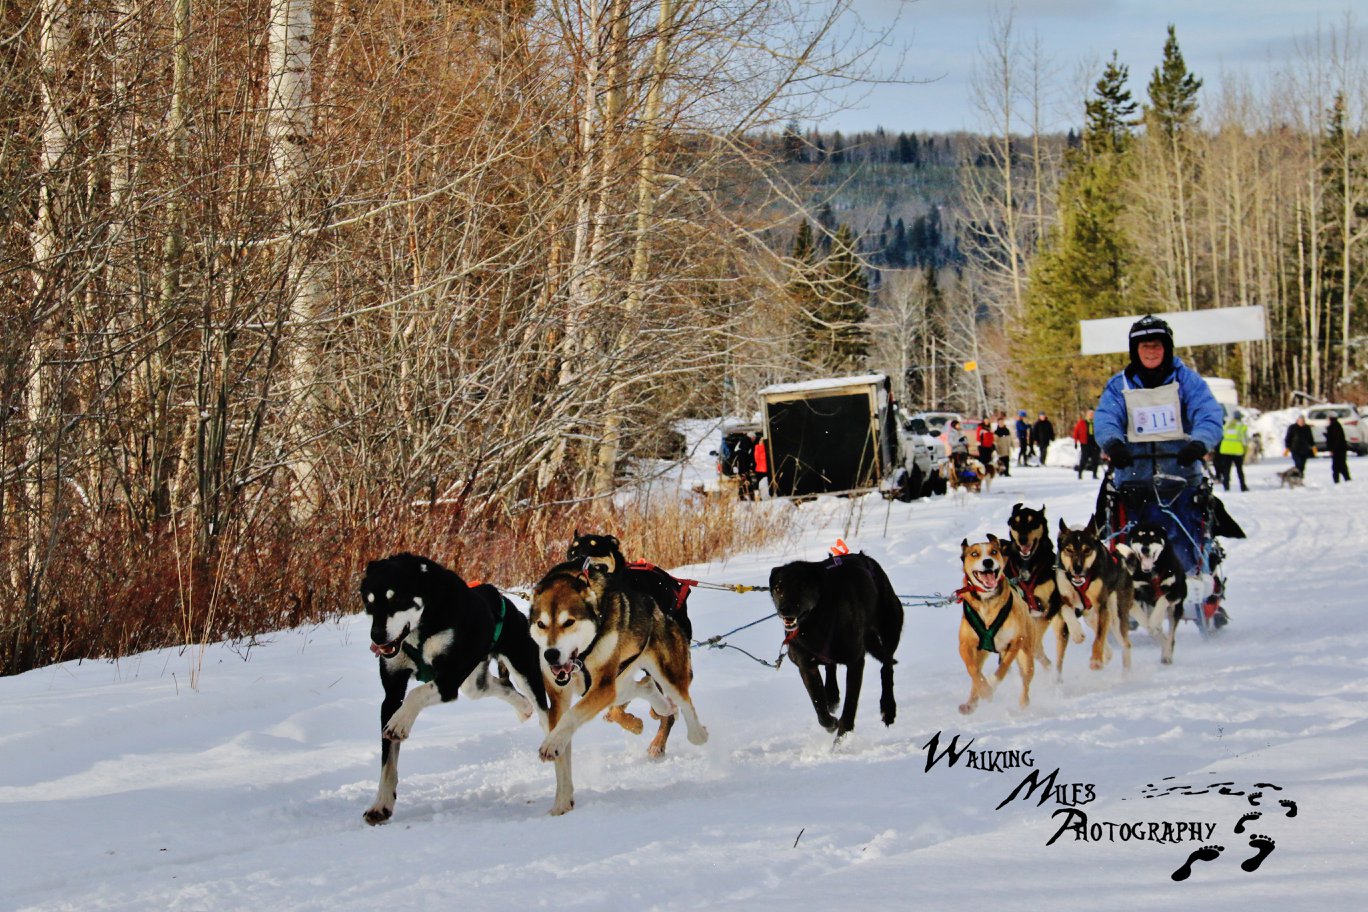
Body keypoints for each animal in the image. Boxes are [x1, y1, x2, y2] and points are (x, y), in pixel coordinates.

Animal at [361, 552, 547, 825]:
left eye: (395, 599)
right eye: (369, 602)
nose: (377, 636)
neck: (422, 628)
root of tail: (501, 598)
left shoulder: (447, 681)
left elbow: (415, 694)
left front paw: (401, 722)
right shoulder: (392, 694)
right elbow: (388, 762)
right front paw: (381, 804)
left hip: (523, 668)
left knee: (545, 714)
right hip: (472, 680)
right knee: (495, 686)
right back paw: (523, 708)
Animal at [530, 560, 711, 814]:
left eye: (568, 622)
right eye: (541, 624)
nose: (551, 654)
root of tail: (660, 610)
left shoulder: (602, 687)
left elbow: (570, 718)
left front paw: (551, 744)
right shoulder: (560, 697)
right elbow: (562, 751)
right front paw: (561, 804)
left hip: (663, 672)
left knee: (685, 703)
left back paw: (698, 734)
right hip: (618, 683)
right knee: (647, 688)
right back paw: (663, 707)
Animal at [957, 530, 1028, 716]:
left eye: (994, 552)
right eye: (974, 554)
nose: (987, 561)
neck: (987, 602)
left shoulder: (1016, 641)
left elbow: (1002, 669)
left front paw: (992, 685)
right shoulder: (965, 645)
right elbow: (973, 671)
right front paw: (985, 690)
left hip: (1026, 654)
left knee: (1027, 679)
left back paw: (1024, 705)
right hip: (980, 653)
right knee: (976, 675)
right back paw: (971, 703)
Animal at [1050, 519, 1138, 678]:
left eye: (1087, 550)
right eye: (1069, 550)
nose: (1077, 568)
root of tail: (1123, 562)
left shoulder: (1102, 606)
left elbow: (1099, 637)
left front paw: (1096, 661)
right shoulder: (1063, 598)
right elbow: (1067, 611)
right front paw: (1077, 633)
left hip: (1116, 615)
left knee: (1124, 643)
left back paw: (1125, 674)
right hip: (1090, 616)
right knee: (1101, 635)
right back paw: (1107, 655)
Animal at [1121, 525, 1187, 667]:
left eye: (1154, 536)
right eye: (1139, 536)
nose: (1145, 549)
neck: (1151, 574)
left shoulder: (1176, 593)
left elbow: (1162, 600)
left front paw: (1153, 622)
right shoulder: (1133, 595)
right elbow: (1141, 617)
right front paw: (1150, 625)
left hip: (1175, 609)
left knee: (1171, 636)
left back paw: (1167, 655)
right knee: (1160, 634)